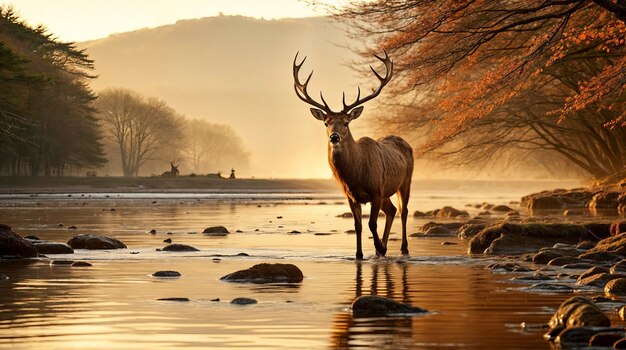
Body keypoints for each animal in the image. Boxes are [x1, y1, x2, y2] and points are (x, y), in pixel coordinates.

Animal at [294, 52, 414, 260]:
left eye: (346, 122)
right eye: (326, 123)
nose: (334, 137)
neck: (356, 175)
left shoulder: (375, 190)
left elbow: (371, 223)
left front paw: (380, 247)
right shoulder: (351, 196)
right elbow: (358, 226)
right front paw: (360, 254)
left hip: (405, 180)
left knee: (403, 211)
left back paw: (402, 248)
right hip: (386, 191)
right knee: (391, 210)